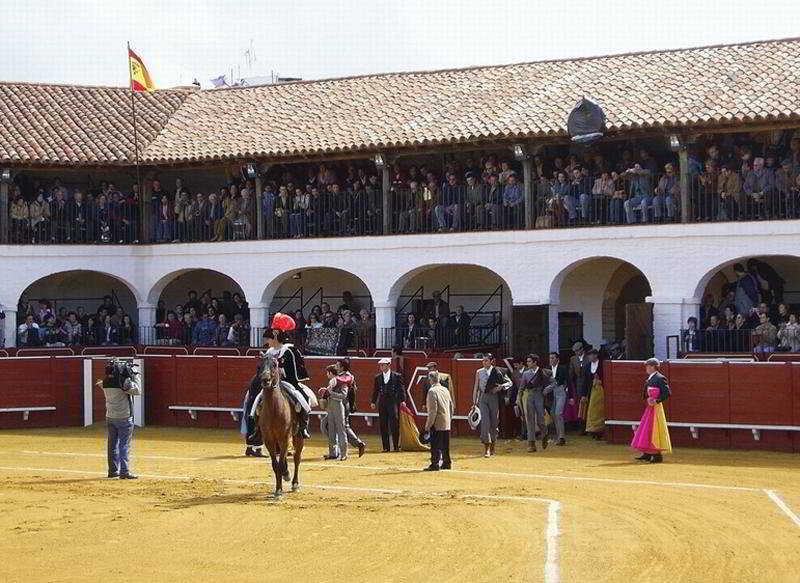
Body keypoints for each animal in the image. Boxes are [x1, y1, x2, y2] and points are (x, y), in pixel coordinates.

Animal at [258, 354, 304, 500]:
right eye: (260, 365)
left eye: (274, 364)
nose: (265, 380)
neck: (274, 410)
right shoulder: (269, 439)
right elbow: (275, 464)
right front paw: (279, 487)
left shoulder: (285, 438)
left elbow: (281, 463)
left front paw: (279, 491)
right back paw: (286, 474)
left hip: (298, 436)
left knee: (297, 458)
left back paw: (295, 483)